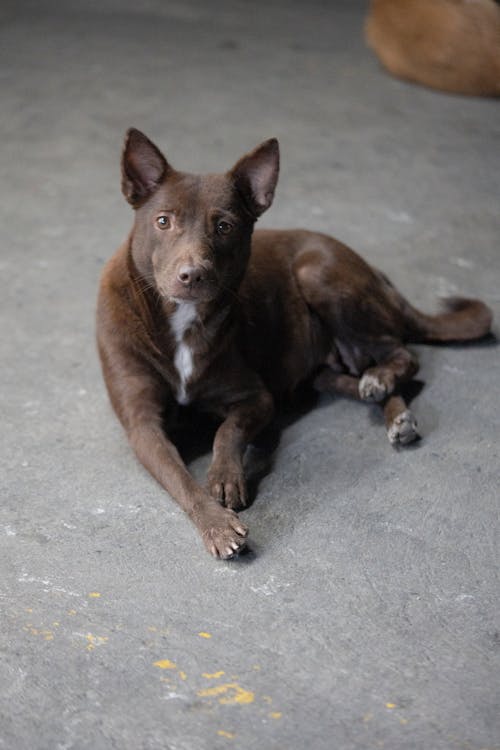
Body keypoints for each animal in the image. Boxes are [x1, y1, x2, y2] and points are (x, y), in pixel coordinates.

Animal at [96, 131, 492, 560]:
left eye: (224, 226)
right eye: (163, 221)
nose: (193, 275)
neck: (179, 320)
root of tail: (376, 272)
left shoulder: (256, 398)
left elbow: (227, 431)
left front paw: (224, 476)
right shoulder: (143, 425)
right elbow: (181, 479)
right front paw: (217, 525)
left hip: (317, 275)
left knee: (402, 354)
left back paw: (385, 386)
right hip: (321, 365)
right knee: (357, 378)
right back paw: (390, 405)